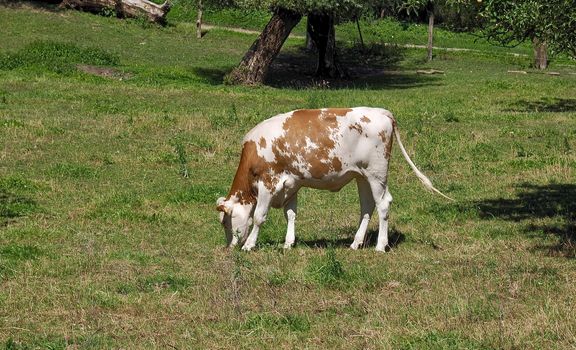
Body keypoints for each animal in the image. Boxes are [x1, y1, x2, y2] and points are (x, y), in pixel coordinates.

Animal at [215, 106, 450, 252]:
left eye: (225, 222)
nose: (230, 247)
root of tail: (381, 112)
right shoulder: (291, 184)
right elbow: (290, 215)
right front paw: (288, 243)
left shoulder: (268, 183)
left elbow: (259, 217)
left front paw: (249, 245)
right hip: (362, 176)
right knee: (367, 207)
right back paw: (356, 243)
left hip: (377, 174)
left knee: (383, 204)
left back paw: (380, 246)